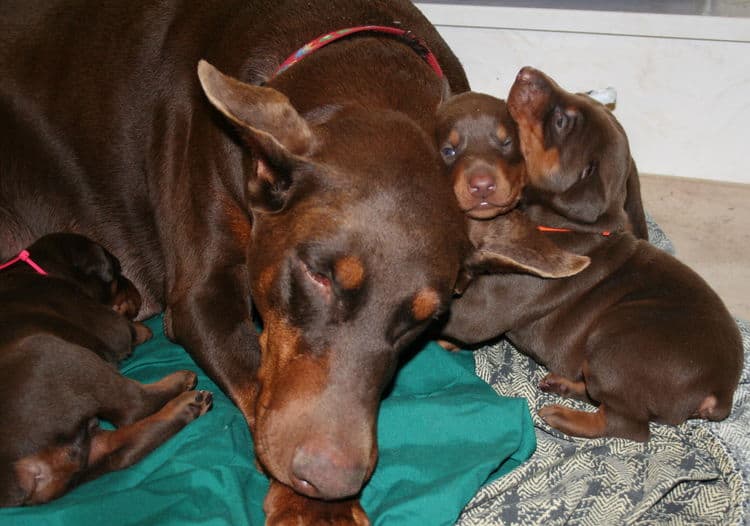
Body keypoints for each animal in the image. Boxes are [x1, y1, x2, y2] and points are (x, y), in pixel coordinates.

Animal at [0, 235, 212, 508]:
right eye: (117, 270)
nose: (138, 292)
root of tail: (18, 474)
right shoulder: (106, 324)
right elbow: (125, 328)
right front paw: (142, 328)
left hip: (85, 453)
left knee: (120, 451)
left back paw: (187, 407)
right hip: (53, 352)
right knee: (135, 406)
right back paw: (182, 384)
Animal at [444, 67, 744, 446]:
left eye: (561, 121)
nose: (526, 71)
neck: (565, 224)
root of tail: (720, 392)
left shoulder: (504, 293)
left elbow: (461, 318)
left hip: (614, 344)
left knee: (628, 424)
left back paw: (563, 416)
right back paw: (564, 384)